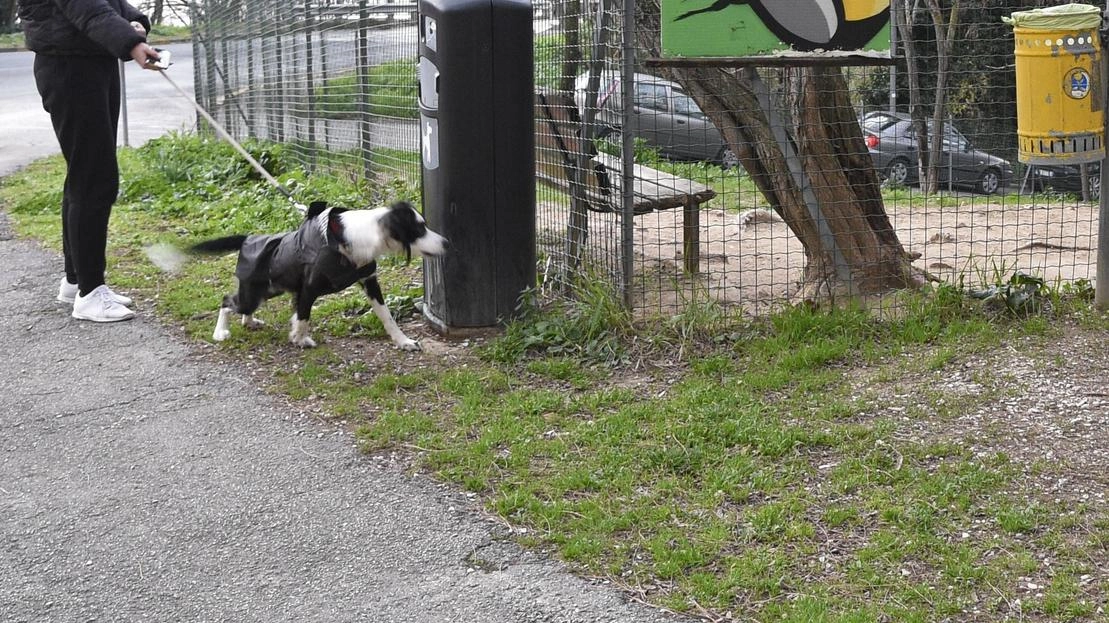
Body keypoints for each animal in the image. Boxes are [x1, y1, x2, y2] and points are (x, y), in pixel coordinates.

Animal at [190, 202, 445, 352]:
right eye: (419, 229)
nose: (446, 242)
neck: (351, 238)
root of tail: (248, 238)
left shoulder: (370, 281)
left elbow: (387, 317)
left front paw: (404, 341)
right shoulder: (308, 288)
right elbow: (303, 315)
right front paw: (299, 338)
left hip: (269, 289)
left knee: (242, 306)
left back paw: (250, 322)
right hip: (252, 294)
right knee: (226, 301)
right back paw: (220, 332)